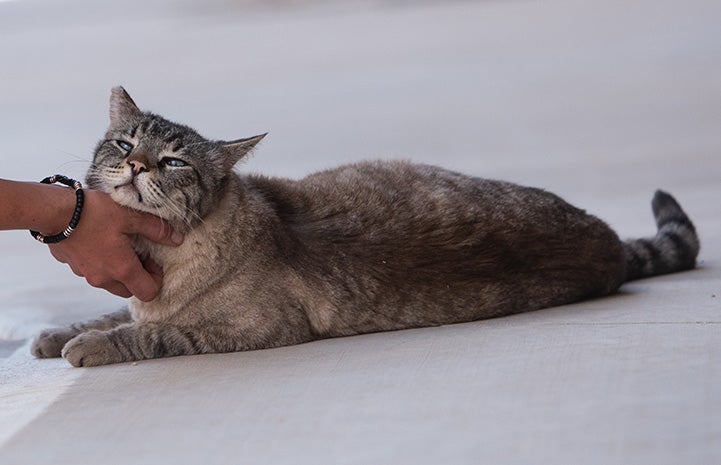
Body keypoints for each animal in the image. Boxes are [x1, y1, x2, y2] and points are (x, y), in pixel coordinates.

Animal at [31, 87, 700, 366]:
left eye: (174, 162)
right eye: (124, 143)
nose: (137, 165)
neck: (156, 255)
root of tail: (605, 237)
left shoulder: (254, 330)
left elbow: (150, 334)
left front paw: (86, 347)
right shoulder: (136, 295)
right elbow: (111, 313)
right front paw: (56, 334)